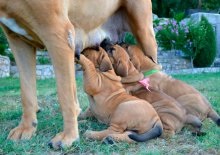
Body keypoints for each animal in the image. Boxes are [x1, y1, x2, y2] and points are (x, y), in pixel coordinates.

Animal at [0, 0, 158, 150]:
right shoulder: (18, 41)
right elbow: (27, 93)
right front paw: (26, 128)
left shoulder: (58, 35)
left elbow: (65, 95)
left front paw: (68, 136)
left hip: (145, 34)